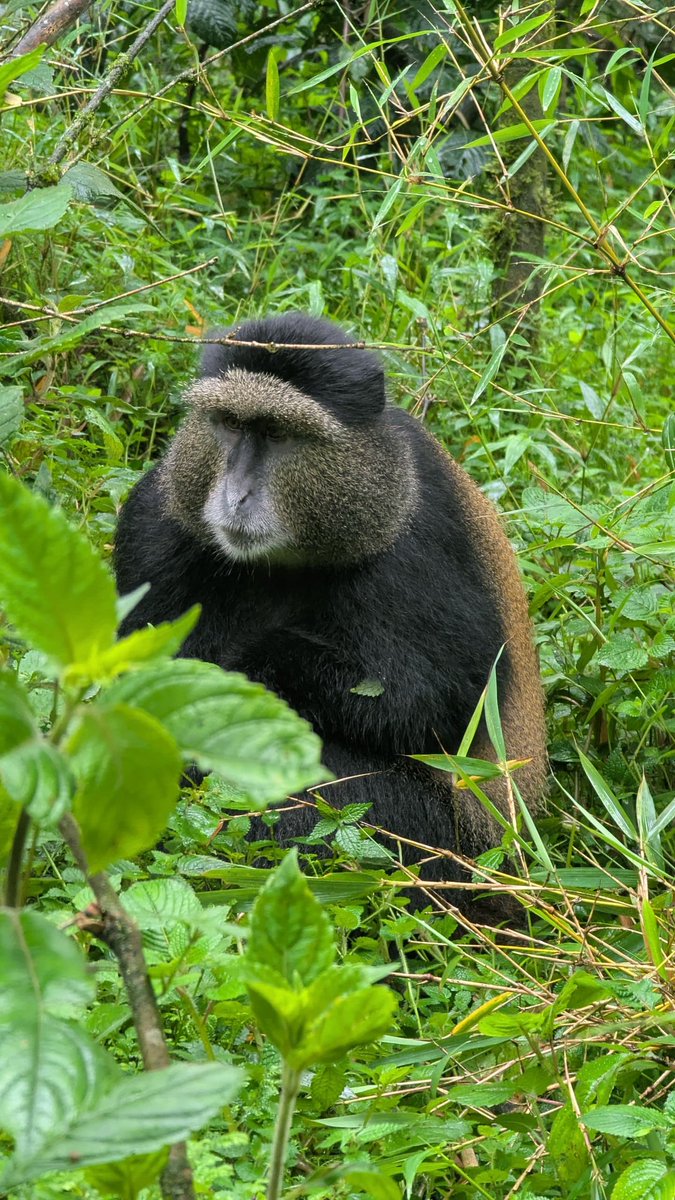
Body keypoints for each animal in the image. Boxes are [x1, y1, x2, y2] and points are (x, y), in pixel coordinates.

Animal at [114, 313, 546, 910]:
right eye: (229, 424)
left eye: (277, 434)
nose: (235, 496)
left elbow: (442, 703)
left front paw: (253, 666)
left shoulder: (421, 539)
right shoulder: (158, 514)